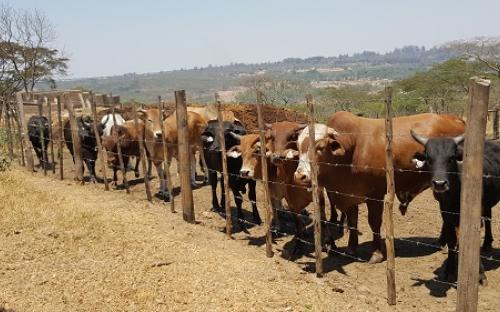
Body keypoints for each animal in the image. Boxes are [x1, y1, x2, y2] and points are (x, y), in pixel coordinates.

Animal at [292, 112, 466, 264]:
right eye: (298, 146)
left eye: (320, 147)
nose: (300, 176)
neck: (352, 150)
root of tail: (455, 119)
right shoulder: (350, 194)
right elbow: (353, 221)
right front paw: (351, 249)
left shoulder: (375, 195)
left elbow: (374, 223)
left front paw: (376, 254)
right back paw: (441, 241)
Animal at [410, 130, 500, 284]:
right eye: (429, 158)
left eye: (451, 158)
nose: (440, 184)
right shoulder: (446, 213)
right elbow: (452, 240)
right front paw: (450, 270)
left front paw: (480, 274)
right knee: (488, 217)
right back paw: (487, 244)